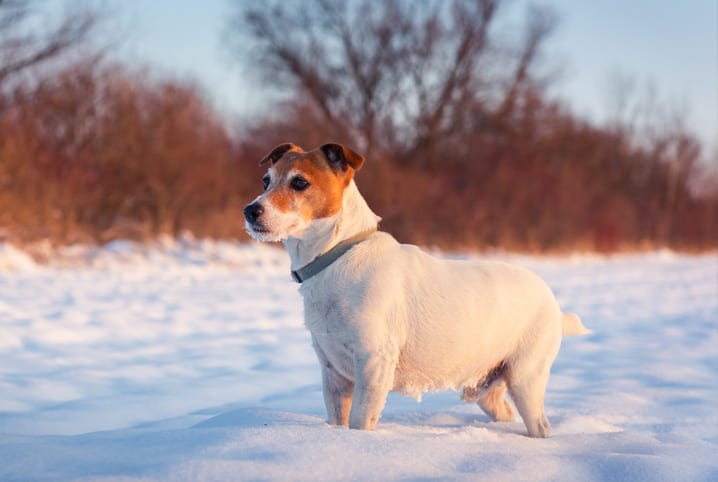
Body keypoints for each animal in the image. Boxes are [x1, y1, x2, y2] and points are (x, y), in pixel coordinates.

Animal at [243, 142, 592, 436]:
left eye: (300, 183)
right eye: (265, 181)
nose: (250, 210)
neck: (336, 255)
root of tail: (552, 302)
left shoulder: (373, 363)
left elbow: (360, 421)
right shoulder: (333, 373)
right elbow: (338, 419)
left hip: (526, 378)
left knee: (540, 424)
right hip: (488, 388)